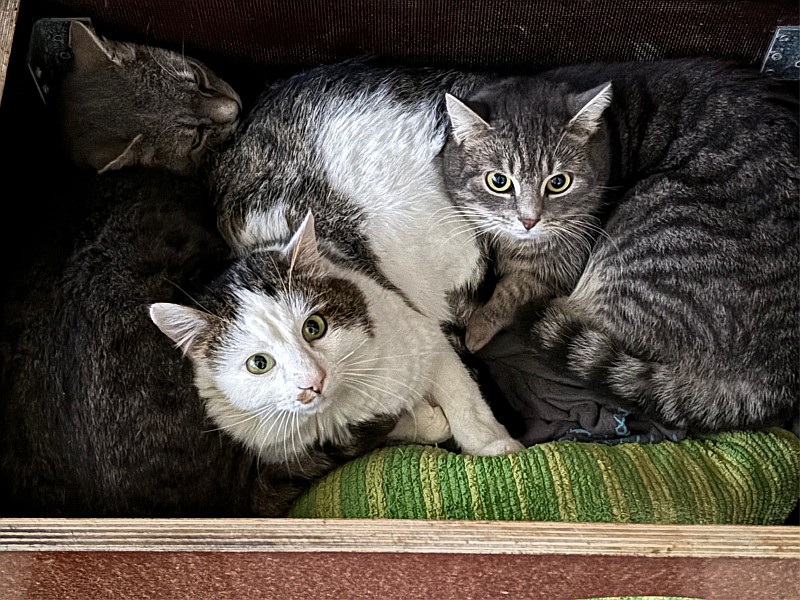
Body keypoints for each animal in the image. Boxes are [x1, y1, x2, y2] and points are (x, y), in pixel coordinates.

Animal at [441, 58, 799, 433]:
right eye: (499, 181)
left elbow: (513, 291)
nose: (529, 221)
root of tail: (776, 380)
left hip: (655, 221)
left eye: (558, 182)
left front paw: (479, 323)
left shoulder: (559, 266)